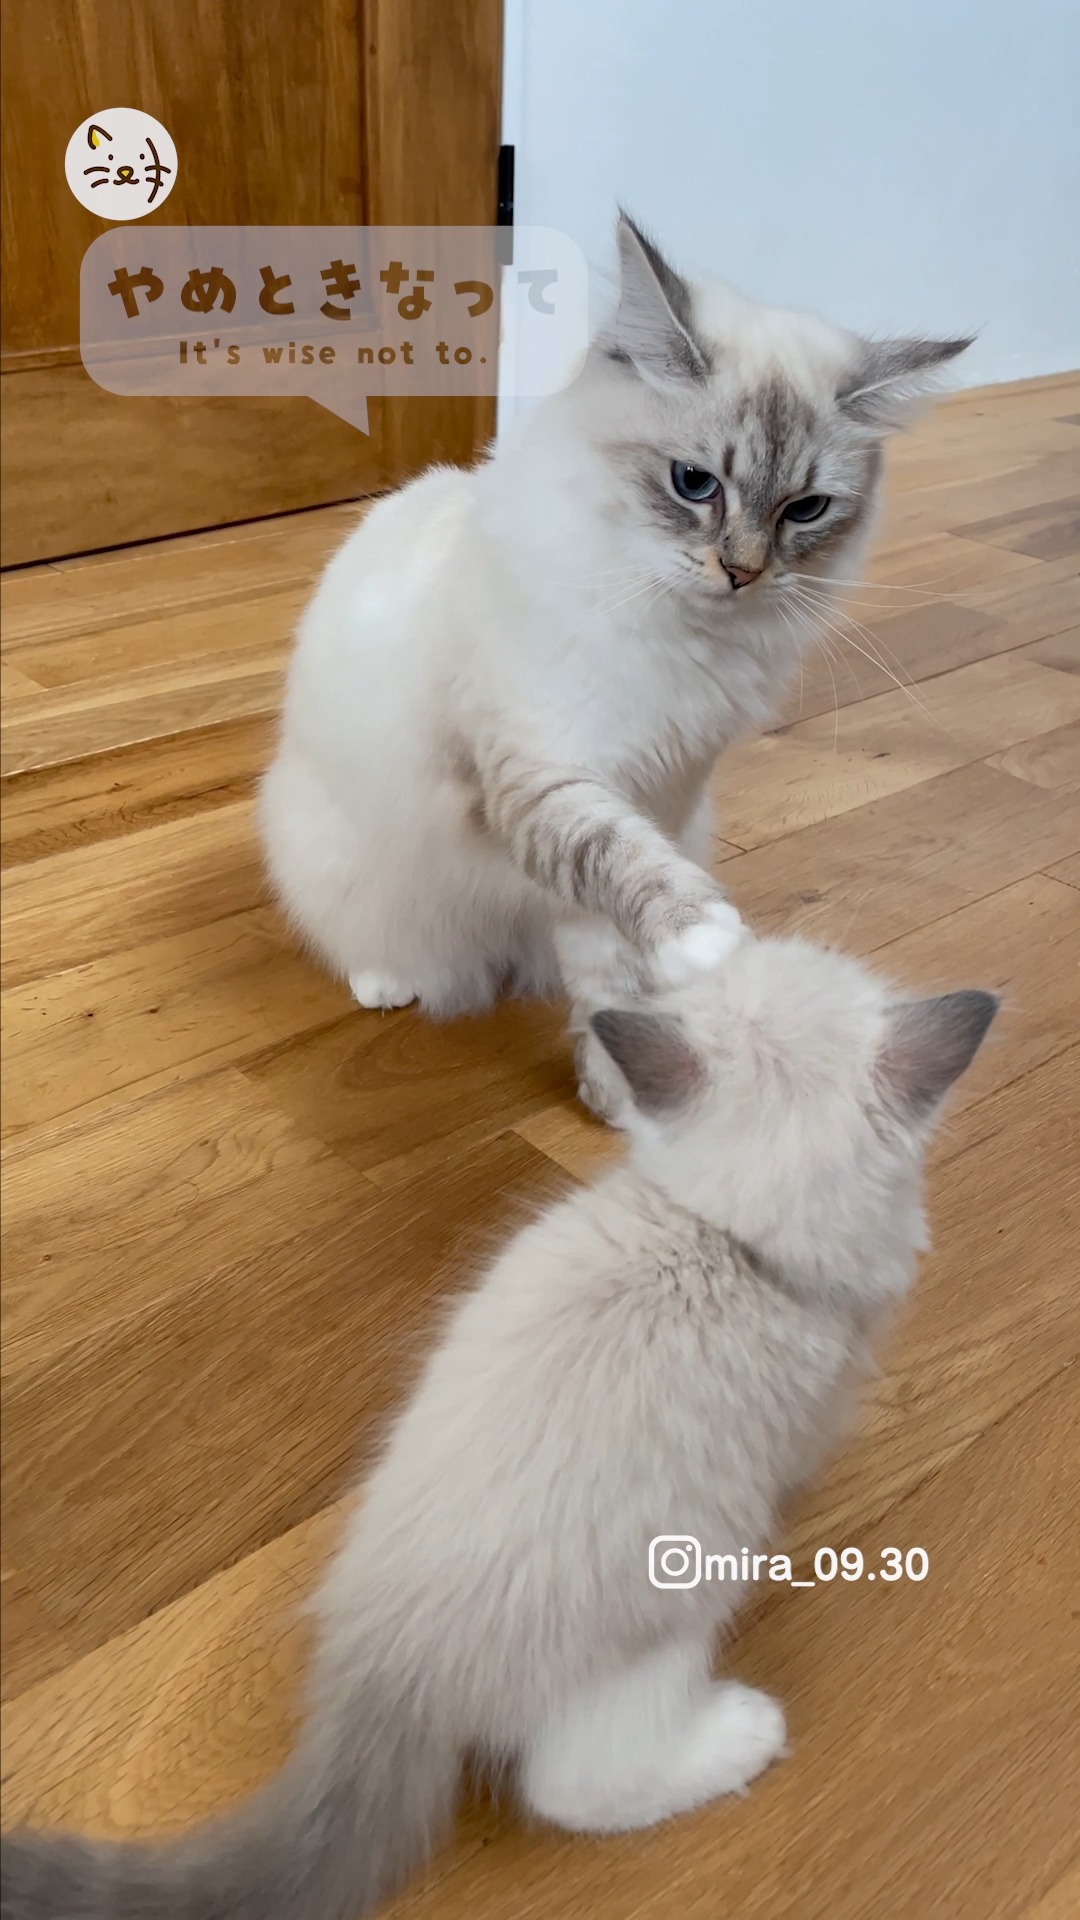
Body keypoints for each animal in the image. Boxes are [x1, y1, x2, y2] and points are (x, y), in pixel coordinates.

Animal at [263, 214, 968, 1098]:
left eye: (805, 510)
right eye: (693, 484)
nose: (742, 572)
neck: (676, 631)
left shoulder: (661, 787)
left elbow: (610, 961)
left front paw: (615, 1085)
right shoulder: (546, 778)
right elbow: (616, 858)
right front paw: (705, 936)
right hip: (341, 854)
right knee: (363, 937)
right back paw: (389, 982)